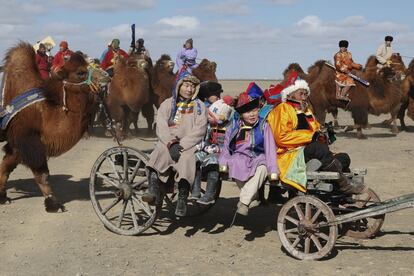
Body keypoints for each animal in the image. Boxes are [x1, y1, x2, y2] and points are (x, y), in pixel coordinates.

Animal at [0, 42, 109, 211]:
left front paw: (3, 197)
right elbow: (42, 174)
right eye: (80, 72)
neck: (44, 111)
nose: (107, 76)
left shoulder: (17, 144)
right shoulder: (28, 140)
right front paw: (53, 204)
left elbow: (5, 166)